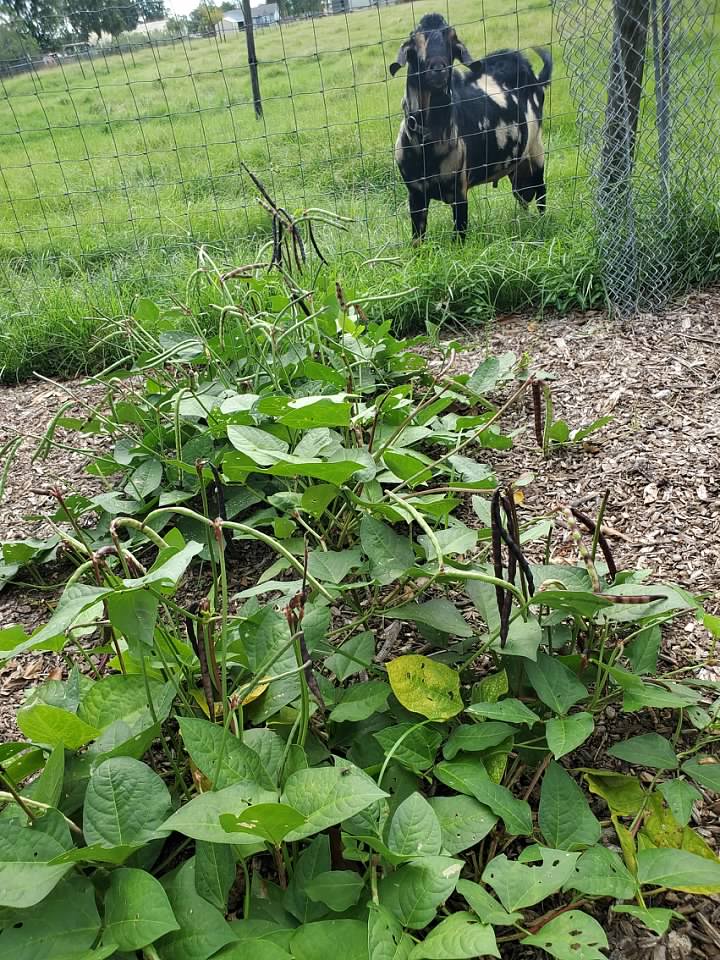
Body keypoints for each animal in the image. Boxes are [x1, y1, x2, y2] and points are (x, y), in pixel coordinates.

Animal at [390, 13, 552, 242]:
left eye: (452, 41)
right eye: (415, 41)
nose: (438, 69)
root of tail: (534, 77)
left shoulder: (459, 190)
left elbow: (459, 237)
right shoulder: (415, 193)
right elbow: (417, 240)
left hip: (536, 150)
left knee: (541, 193)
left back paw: (540, 224)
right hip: (517, 166)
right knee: (522, 196)